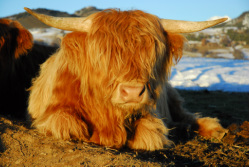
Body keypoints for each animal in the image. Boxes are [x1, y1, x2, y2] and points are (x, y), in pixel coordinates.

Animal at [25, 7, 228, 151]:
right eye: (103, 54)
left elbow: (149, 136)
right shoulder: (53, 112)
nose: (132, 92)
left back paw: (214, 129)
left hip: (173, 99)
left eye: (152, 54)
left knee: (187, 115)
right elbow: (65, 124)